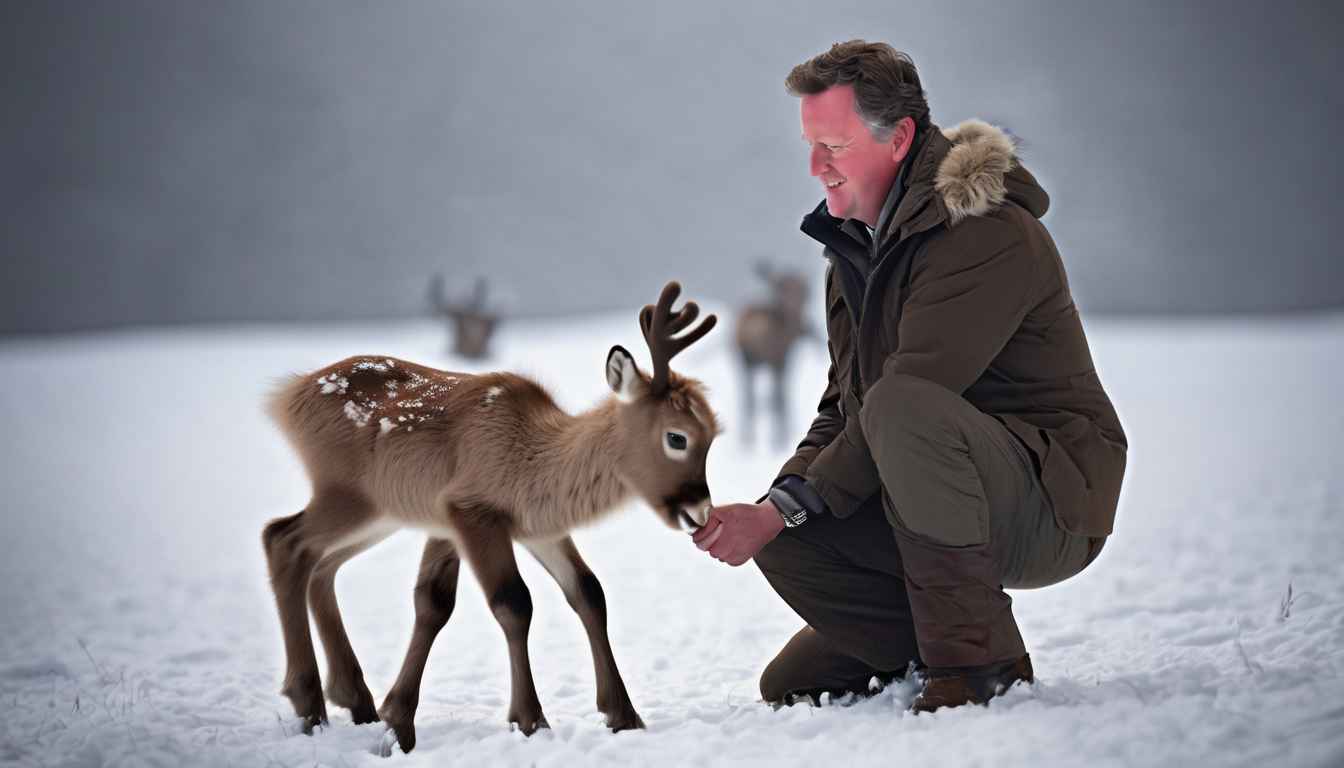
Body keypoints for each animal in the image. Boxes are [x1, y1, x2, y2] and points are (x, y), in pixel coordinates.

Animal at [262, 282, 718, 753]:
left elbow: (585, 593)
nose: (701, 510)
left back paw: (352, 697)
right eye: (677, 437)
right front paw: (529, 719)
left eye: (714, 434)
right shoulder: (471, 511)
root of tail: (288, 395)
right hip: (348, 495)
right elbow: (513, 602)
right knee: (284, 539)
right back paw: (308, 702)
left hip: (383, 515)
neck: (534, 461)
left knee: (322, 563)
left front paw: (623, 714)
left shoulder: (526, 527)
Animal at [735, 264, 809, 448]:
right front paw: (783, 438)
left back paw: (747, 439)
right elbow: (780, 396)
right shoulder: (782, 358)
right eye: (803, 289)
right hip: (768, 358)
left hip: (744, 360)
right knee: (770, 397)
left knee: (748, 397)